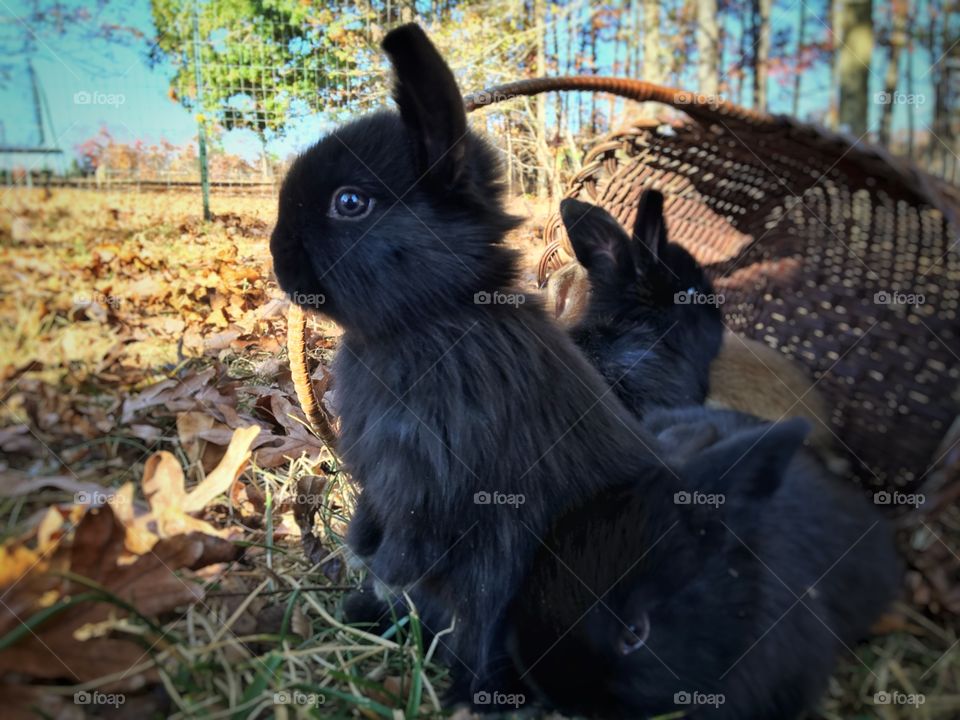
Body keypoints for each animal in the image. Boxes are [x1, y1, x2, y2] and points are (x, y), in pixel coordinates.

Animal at [268, 23, 668, 696]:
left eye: (349, 203)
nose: (276, 257)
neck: (433, 317)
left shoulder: (429, 477)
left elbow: (411, 535)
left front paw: (379, 564)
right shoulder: (379, 474)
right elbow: (375, 518)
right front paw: (361, 552)